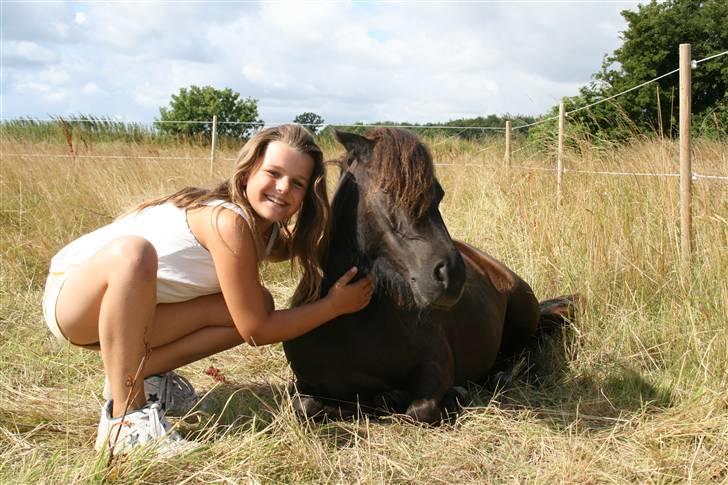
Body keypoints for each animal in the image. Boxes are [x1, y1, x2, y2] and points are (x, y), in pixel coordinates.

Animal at [284, 129, 580, 424]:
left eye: (438, 194)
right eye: (387, 190)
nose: (453, 276)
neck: (353, 323)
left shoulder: (435, 366)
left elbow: (419, 410)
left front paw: (454, 394)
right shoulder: (306, 384)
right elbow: (305, 405)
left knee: (527, 352)